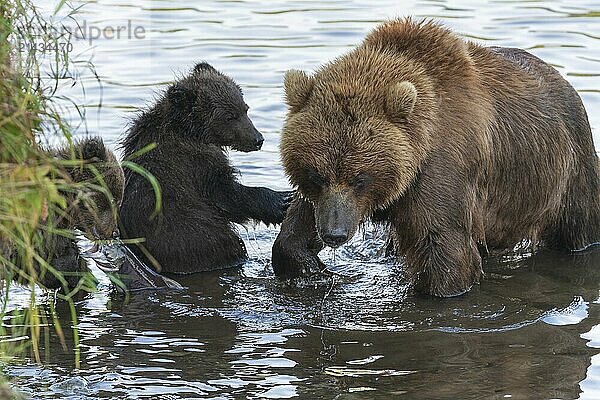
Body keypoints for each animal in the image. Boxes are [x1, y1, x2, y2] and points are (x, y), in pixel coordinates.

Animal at [272, 18, 600, 296]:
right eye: (316, 175)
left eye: (360, 178)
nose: (334, 234)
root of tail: (563, 80)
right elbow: (297, 226)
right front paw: (309, 265)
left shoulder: (442, 169)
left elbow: (445, 253)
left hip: (568, 172)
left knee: (580, 224)